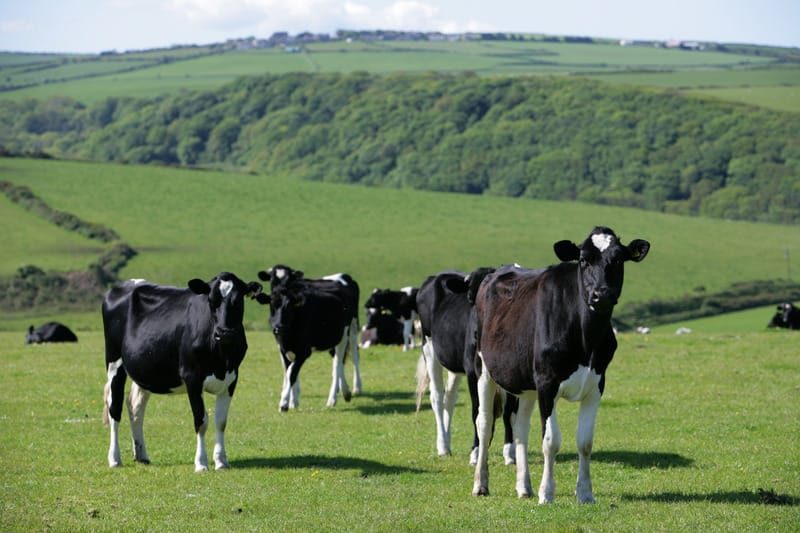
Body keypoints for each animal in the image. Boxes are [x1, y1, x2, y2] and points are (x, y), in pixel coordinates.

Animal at [101, 273, 262, 471]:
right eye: (211, 300)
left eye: (238, 301)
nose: (224, 332)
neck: (221, 358)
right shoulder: (192, 377)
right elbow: (201, 421)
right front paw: (201, 463)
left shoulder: (232, 379)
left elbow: (221, 422)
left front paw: (221, 461)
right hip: (114, 362)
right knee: (114, 409)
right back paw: (114, 458)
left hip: (143, 370)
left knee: (135, 407)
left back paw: (141, 455)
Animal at [256, 265, 362, 411]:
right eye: (271, 305)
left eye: (289, 307)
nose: (278, 327)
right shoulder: (283, 349)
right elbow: (288, 372)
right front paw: (293, 400)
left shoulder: (304, 351)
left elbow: (291, 372)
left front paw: (285, 403)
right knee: (339, 361)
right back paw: (344, 392)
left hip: (350, 330)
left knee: (343, 361)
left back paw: (340, 395)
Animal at [415, 269, 517, 465]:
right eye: (471, 296)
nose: (478, 332)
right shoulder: (472, 372)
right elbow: (477, 411)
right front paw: (476, 452)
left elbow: (509, 412)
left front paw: (510, 453)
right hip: (429, 346)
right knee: (437, 397)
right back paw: (443, 446)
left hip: (455, 365)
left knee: (449, 398)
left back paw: (448, 441)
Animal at [471, 227, 650, 503]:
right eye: (584, 260)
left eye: (619, 259)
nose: (602, 295)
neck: (586, 340)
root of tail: (499, 269)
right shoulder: (547, 383)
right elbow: (551, 441)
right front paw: (547, 493)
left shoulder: (597, 384)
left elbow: (585, 441)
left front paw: (585, 493)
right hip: (484, 369)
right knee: (485, 422)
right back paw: (481, 484)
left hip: (526, 382)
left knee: (520, 426)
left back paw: (524, 486)